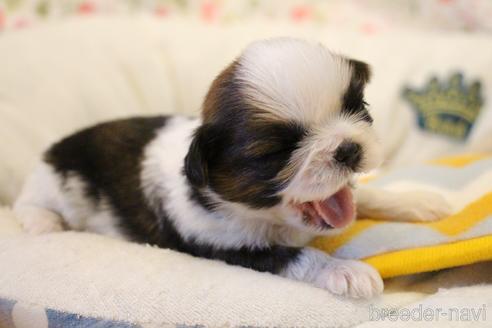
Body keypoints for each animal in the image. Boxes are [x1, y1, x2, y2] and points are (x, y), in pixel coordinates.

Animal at [13, 37, 452, 298]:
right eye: (278, 151)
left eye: (357, 109)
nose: (347, 150)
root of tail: (54, 150)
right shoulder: (222, 244)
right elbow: (297, 256)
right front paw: (347, 271)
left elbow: (363, 196)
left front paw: (416, 200)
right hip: (50, 185)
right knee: (27, 205)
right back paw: (42, 222)